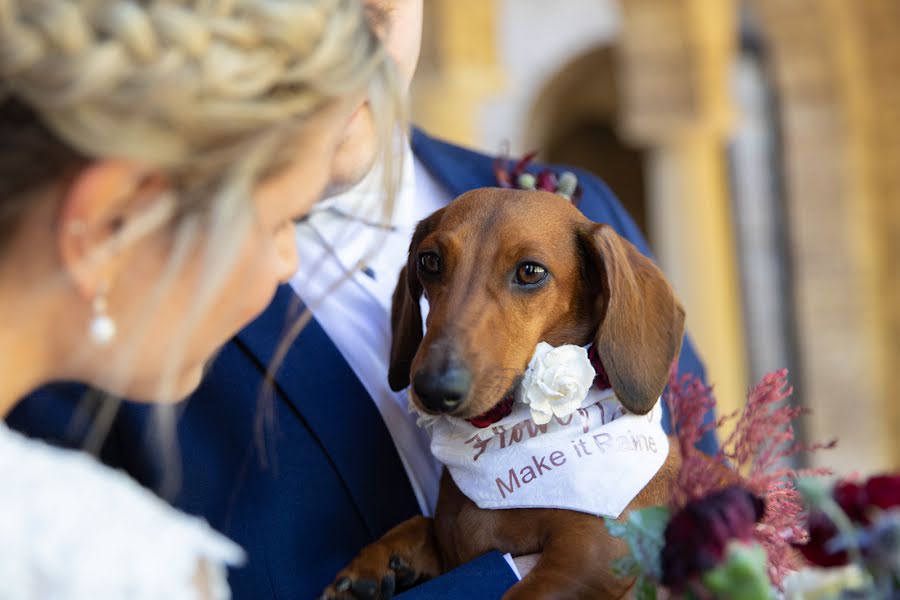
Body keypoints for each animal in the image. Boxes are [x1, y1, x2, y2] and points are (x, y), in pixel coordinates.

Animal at [320, 189, 684, 600]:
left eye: (530, 271)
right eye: (430, 261)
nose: (433, 388)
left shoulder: (596, 551)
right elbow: (422, 525)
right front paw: (378, 558)